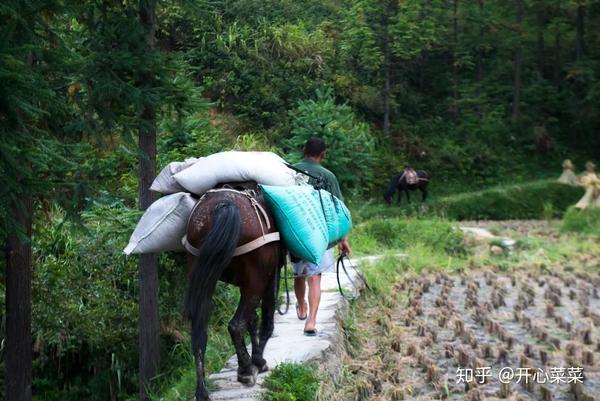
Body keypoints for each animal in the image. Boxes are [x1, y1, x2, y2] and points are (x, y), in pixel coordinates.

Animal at [183, 182, 284, 400]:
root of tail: (223, 205)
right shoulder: (269, 276)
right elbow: (265, 319)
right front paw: (258, 361)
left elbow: (252, 319)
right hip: (256, 279)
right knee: (236, 325)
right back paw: (246, 370)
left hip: (201, 274)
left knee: (199, 332)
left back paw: (202, 391)